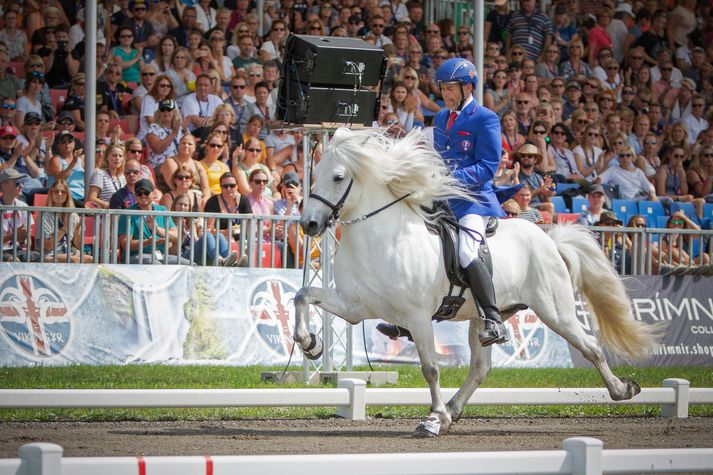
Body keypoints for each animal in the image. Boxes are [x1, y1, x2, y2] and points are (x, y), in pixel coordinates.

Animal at [292, 127, 660, 438]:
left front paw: (431, 419)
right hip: (482, 316)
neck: (380, 238)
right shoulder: (354, 306)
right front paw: (310, 343)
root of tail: (548, 239)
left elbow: (430, 368)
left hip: (555, 310)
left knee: (591, 346)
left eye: (338, 177)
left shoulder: (417, 316)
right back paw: (453, 409)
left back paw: (622, 389)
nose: (309, 224)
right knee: (481, 367)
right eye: (316, 173)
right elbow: (302, 295)